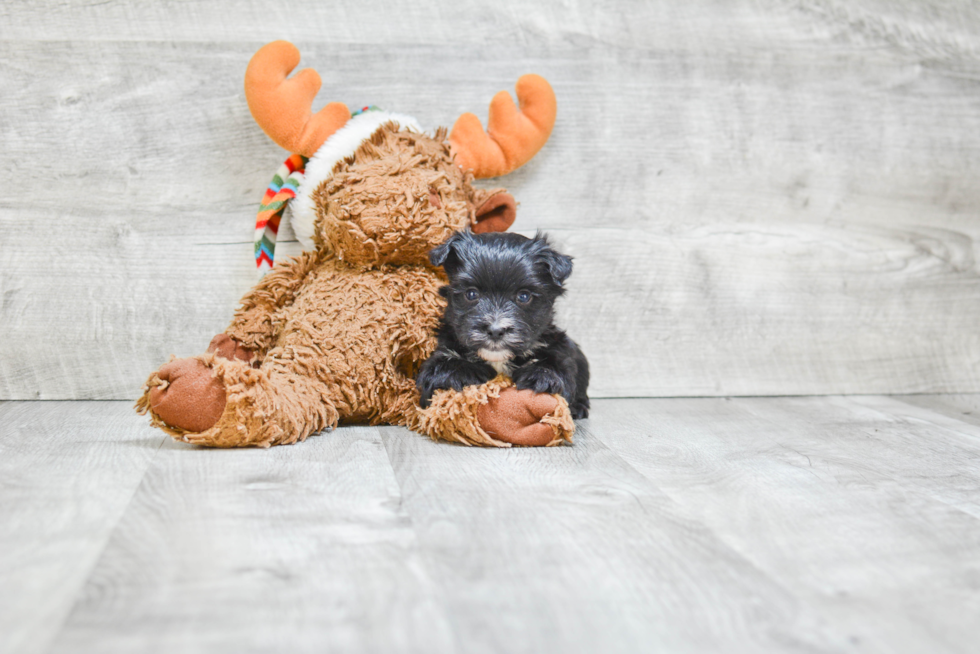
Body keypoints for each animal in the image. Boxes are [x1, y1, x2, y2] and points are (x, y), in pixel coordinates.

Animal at [414, 233, 588, 422]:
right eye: (471, 294)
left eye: (524, 296)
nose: (495, 330)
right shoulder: (443, 351)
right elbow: (441, 368)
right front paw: (459, 374)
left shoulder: (557, 349)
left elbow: (556, 367)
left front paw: (541, 376)